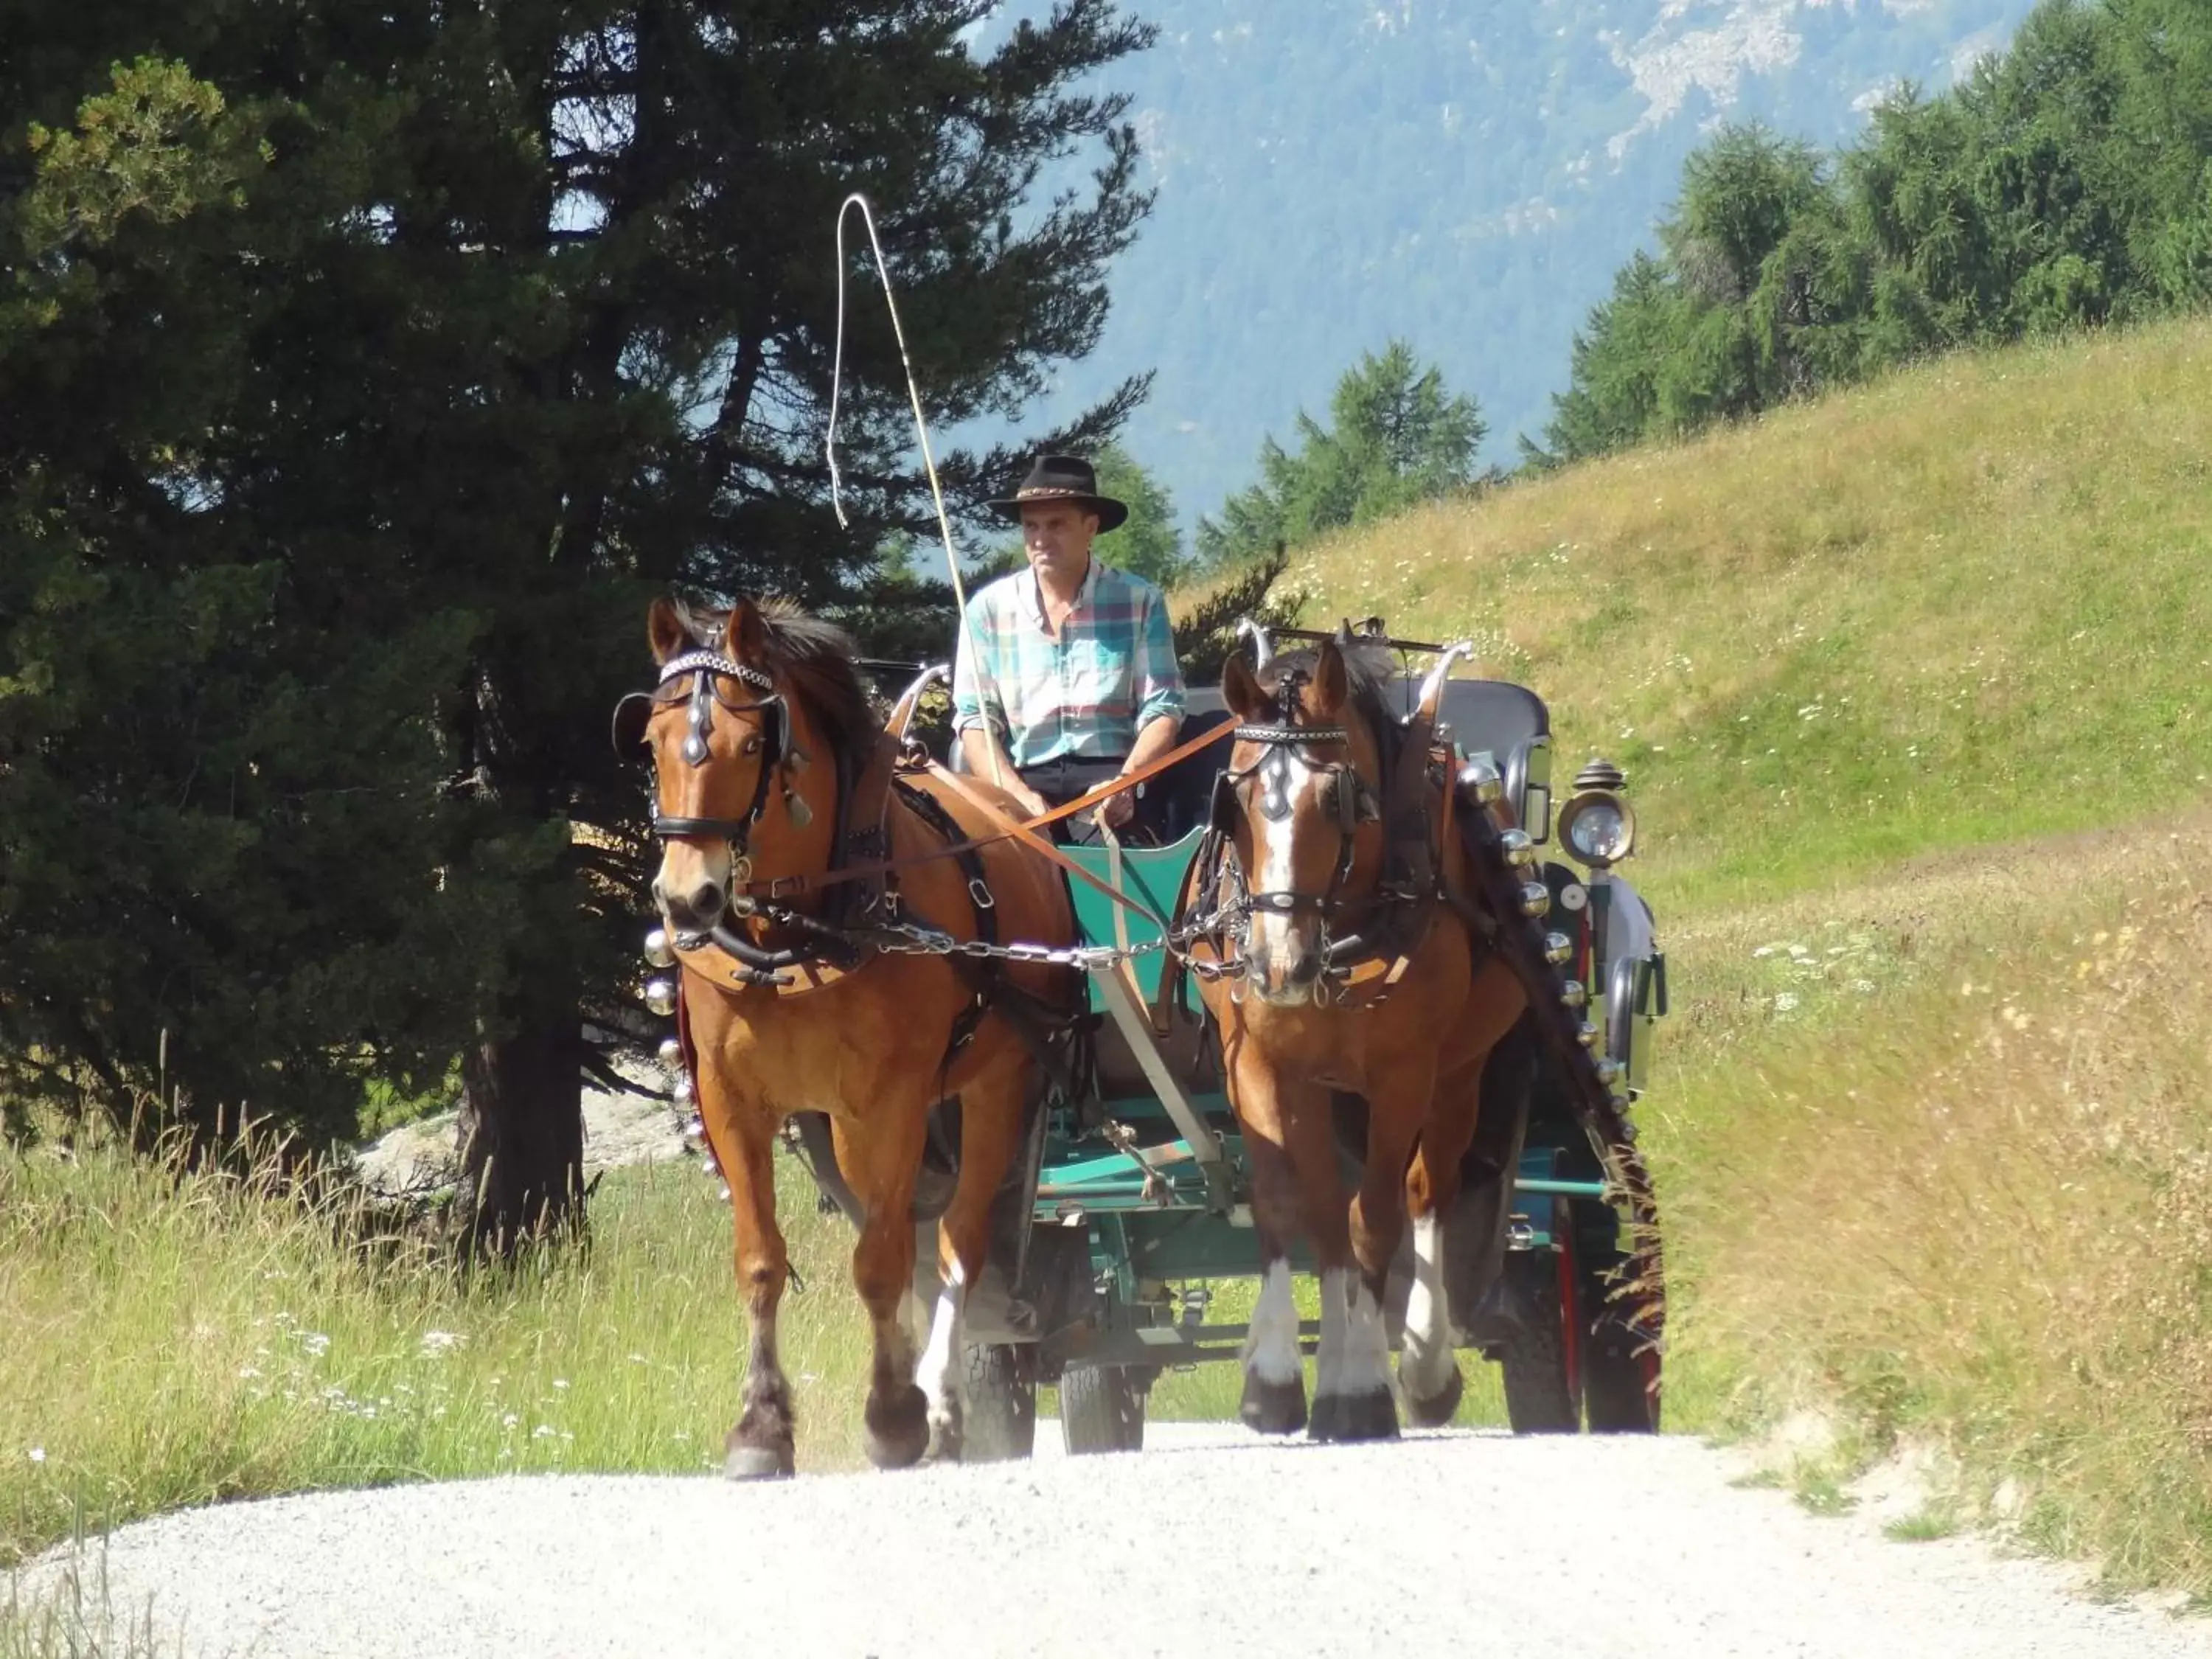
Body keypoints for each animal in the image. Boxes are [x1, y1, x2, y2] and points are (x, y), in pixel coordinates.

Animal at [624, 597, 1079, 1478]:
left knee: (956, 1244)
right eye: (652, 742)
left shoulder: (889, 1102)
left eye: (752, 744)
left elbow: (879, 1264)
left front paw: (894, 1417)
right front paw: (760, 1428)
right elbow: (762, 1261)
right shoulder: (736, 1102)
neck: (796, 930)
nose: (688, 899)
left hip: (994, 1086)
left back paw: (941, 1400)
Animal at [1194, 637, 1540, 1442]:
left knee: (1427, 1192)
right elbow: (1287, 1203)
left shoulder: (1403, 1074)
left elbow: (1377, 1218)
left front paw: (1362, 1386)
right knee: (1327, 1209)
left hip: (1458, 1075)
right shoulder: (1258, 1063)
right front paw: (1276, 1376)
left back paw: (1421, 1367)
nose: (1275, 965)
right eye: (1235, 801)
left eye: (1337, 800)